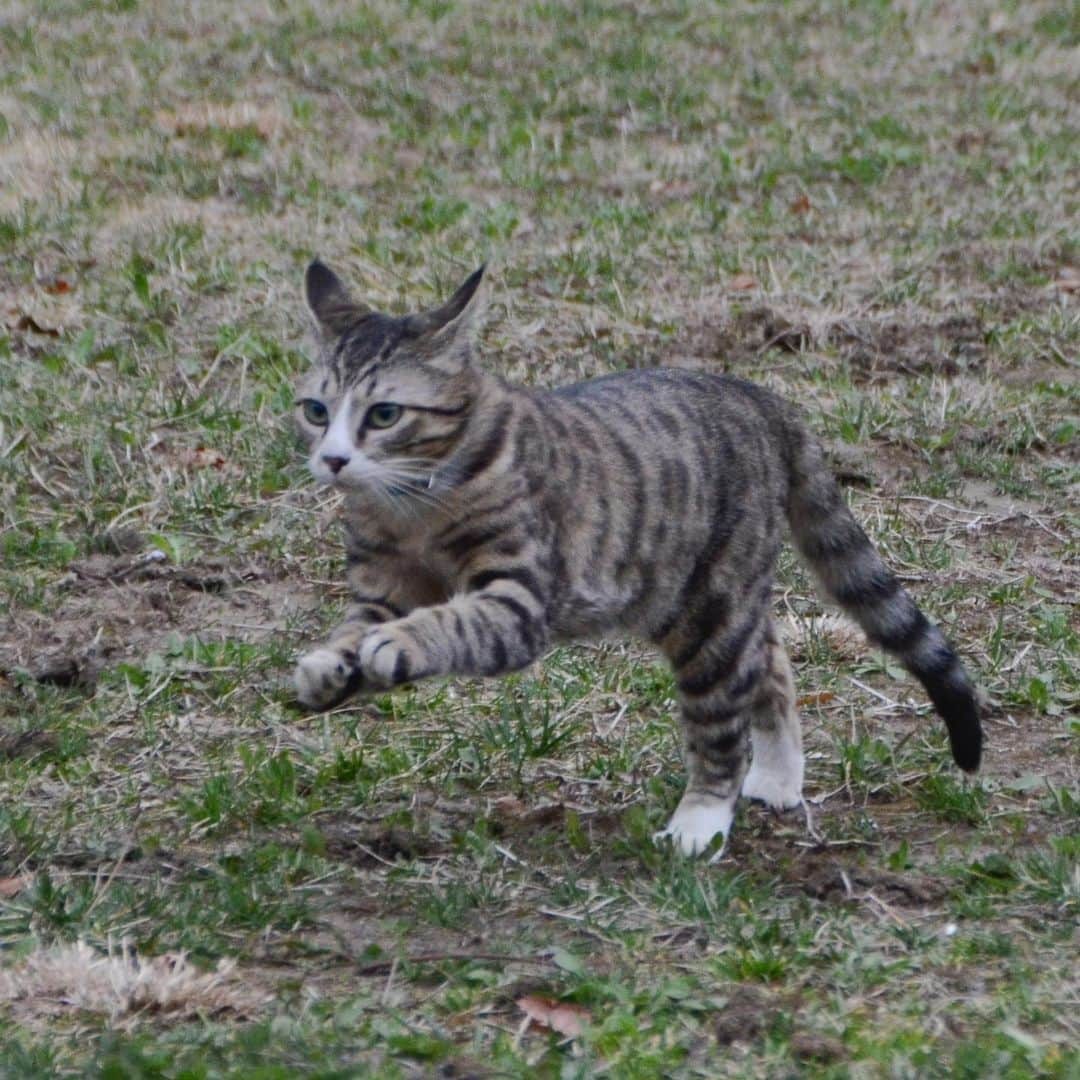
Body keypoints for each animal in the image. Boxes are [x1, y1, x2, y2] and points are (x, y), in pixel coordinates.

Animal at [291, 257, 984, 855]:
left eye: (384, 414)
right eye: (316, 411)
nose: (333, 459)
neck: (413, 510)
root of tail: (762, 399)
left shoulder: (519, 601)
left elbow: (453, 621)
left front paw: (401, 644)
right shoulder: (382, 588)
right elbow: (355, 628)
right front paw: (328, 665)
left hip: (707, 610)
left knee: (722, 721)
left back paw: (701, 821)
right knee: (770, 660)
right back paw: (779, 776)